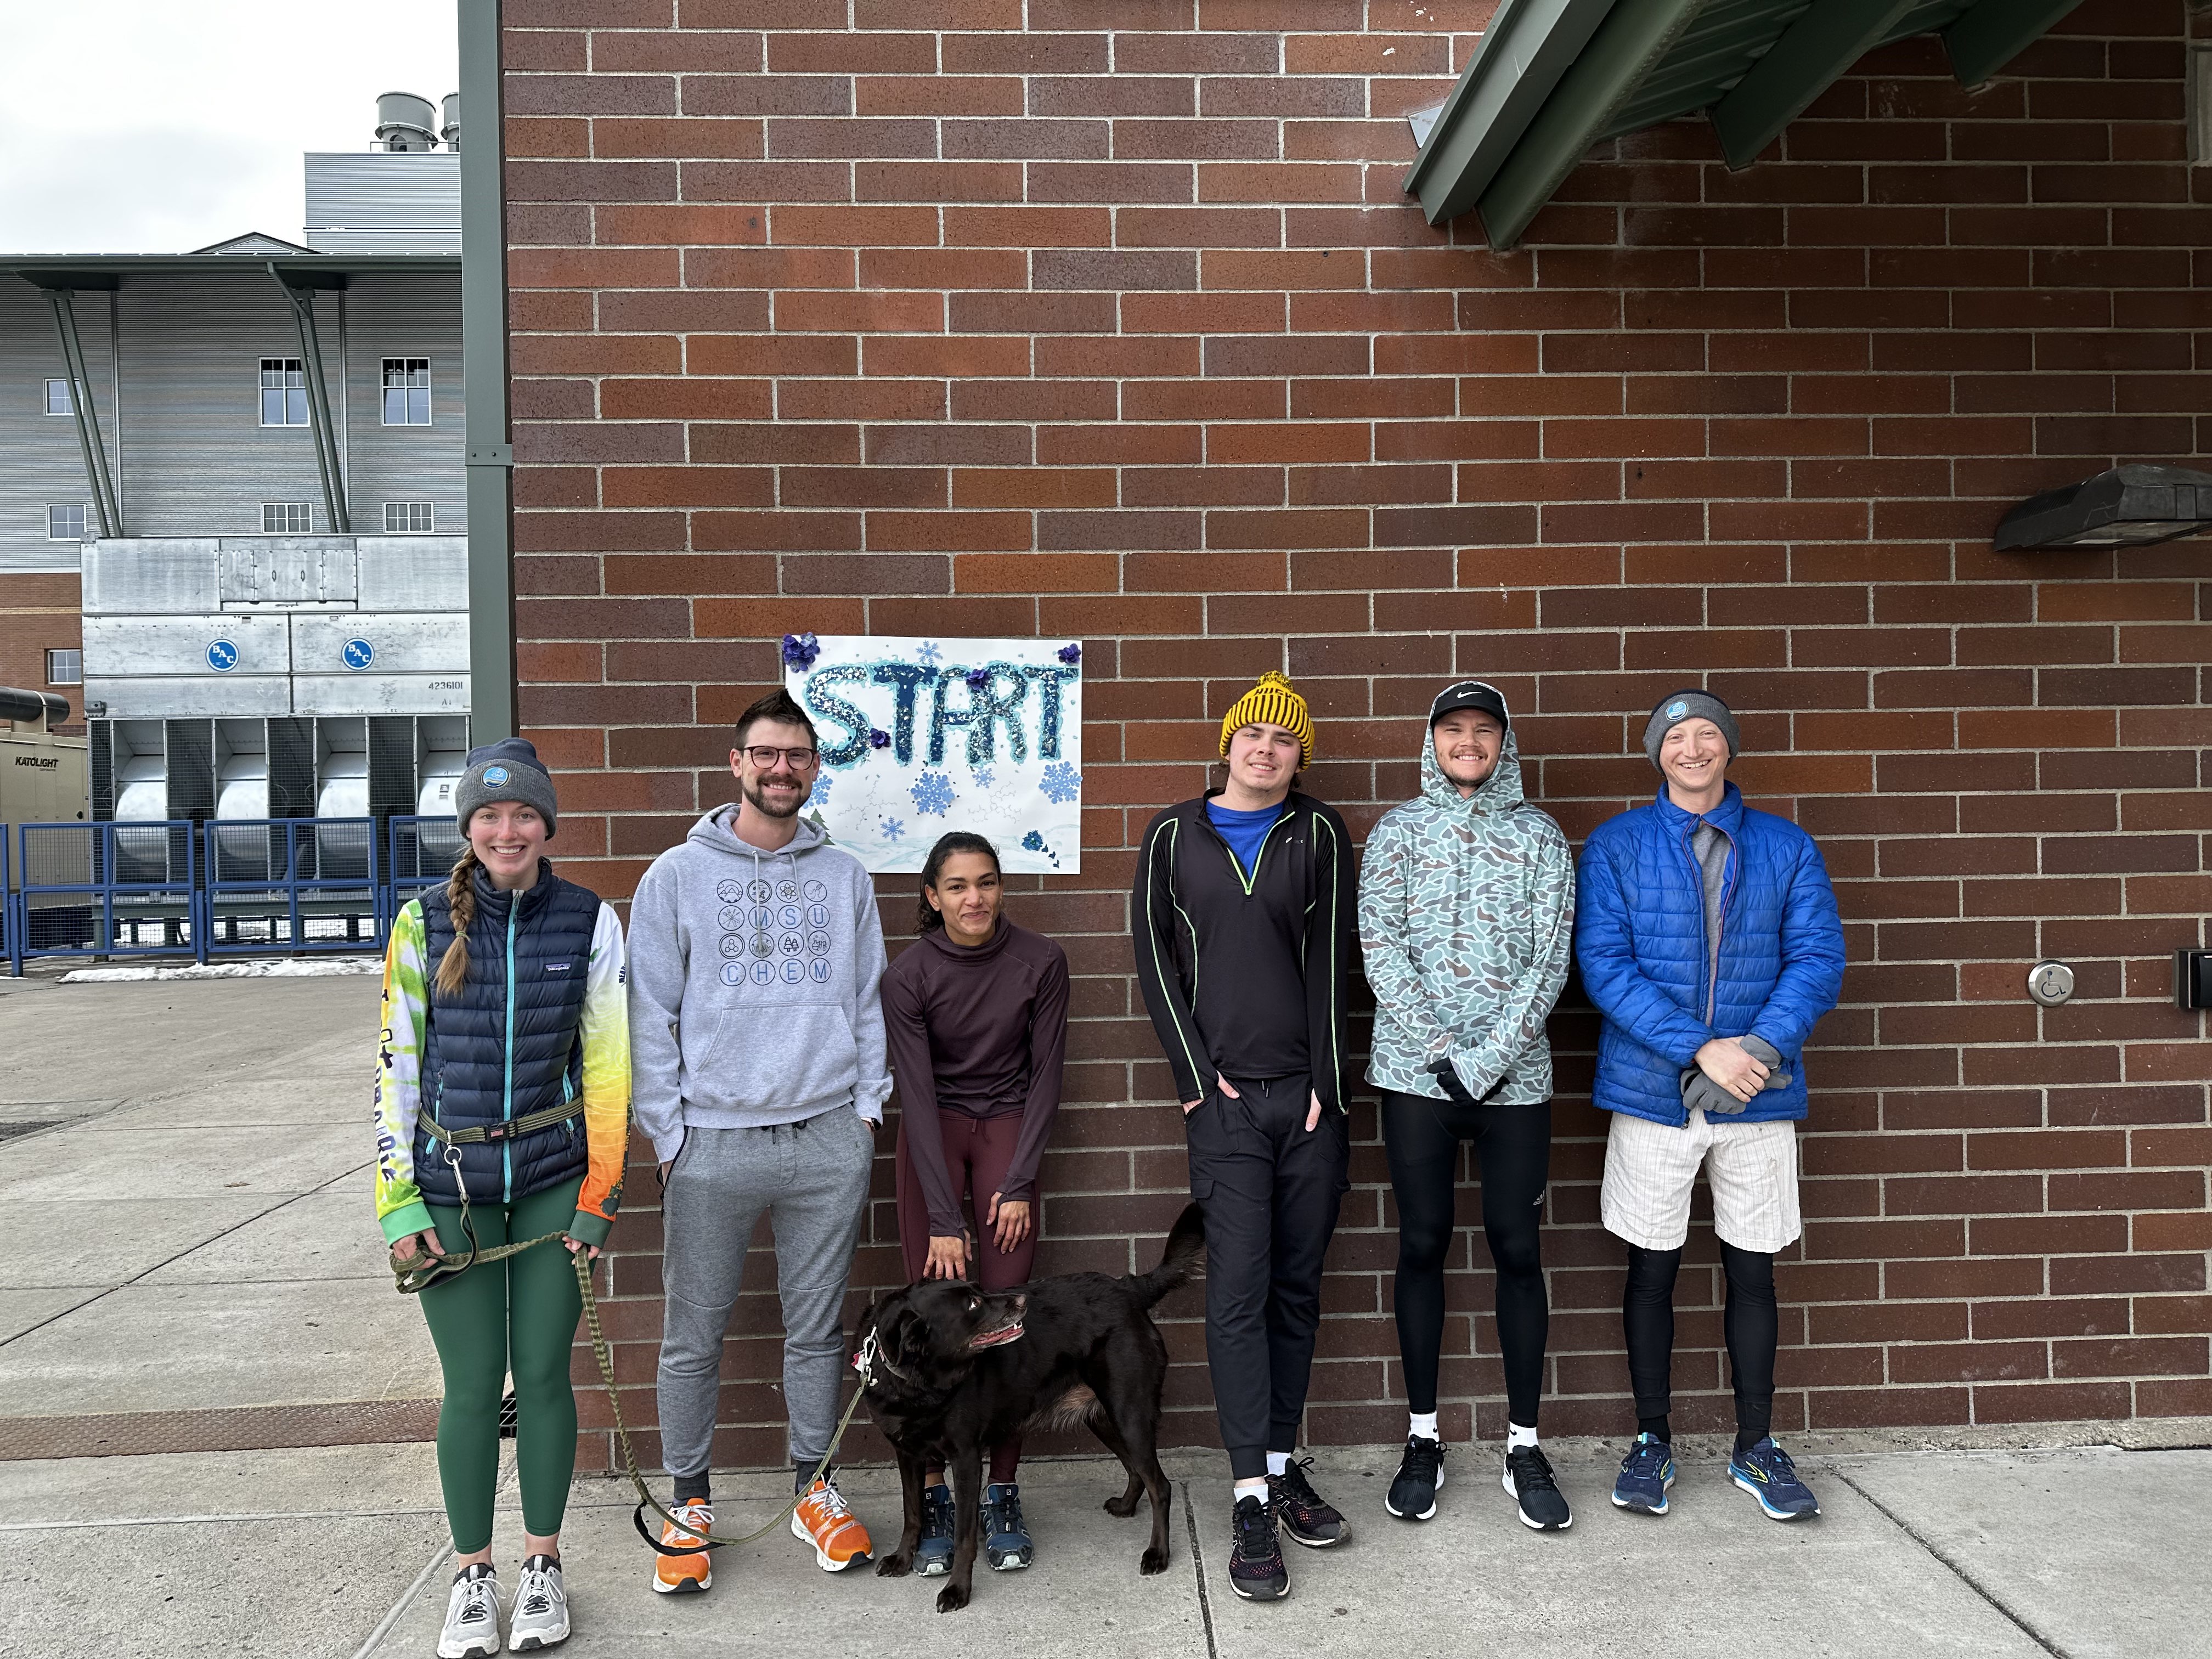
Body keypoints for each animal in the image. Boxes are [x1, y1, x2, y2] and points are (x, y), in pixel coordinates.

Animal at [858, 1212, 1212, 1610]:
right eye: (972, 1305)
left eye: (980, 1291)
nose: (1020, 1298)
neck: (919, 1383)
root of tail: (1130, 1288)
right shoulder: (907, 1454)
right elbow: (913, 1513)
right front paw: (903, 1559)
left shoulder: (966, 1458)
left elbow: (964, 1537)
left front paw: (957, 1589)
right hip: (1105, 1418)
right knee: (1137, 1470)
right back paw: (1125, 1506)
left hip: (1128, 1412)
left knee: (1160, 1486)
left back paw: (1158, 1554)